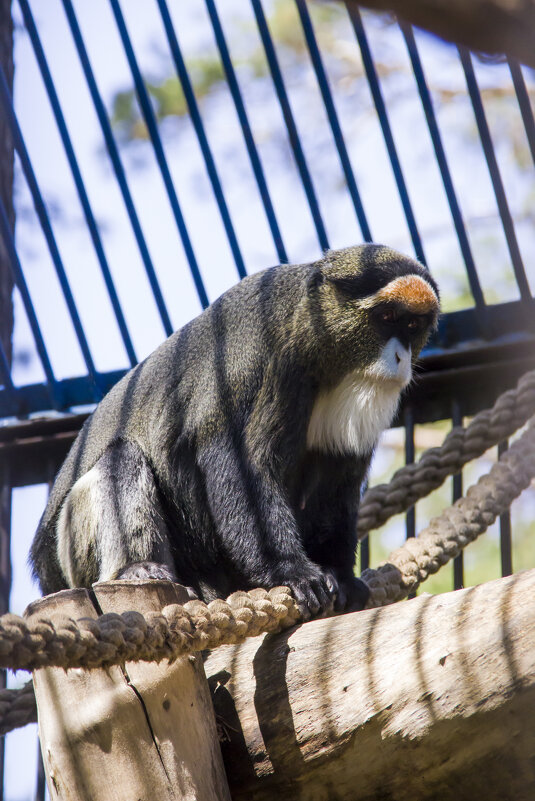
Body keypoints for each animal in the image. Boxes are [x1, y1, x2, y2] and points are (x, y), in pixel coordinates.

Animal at [30, 244, 440, 620]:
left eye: (412, 326)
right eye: (387, 316)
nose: (401, 357)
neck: (313, 335)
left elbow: (336, 481)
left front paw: (341, 576)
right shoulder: (261, 358)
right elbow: (239, 465)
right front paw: (293, 571)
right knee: (121, 458)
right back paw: (139, 568)